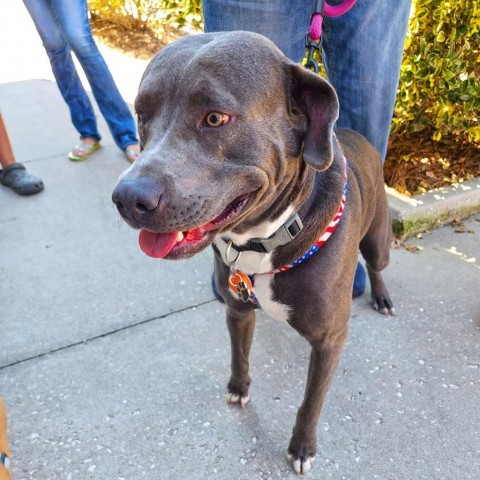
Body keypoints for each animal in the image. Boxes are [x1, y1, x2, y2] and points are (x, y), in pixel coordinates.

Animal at [112, 31, 394, 474]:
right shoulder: (238, 310)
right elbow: (239, 356)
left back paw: (381, 296)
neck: (266, 239)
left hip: (379, 240)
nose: (127, 198)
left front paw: (301, 447)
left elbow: (311, 402)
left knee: (378, 264)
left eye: (215, 118)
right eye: (141, 115)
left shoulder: (329, 341)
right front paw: (238, 388)